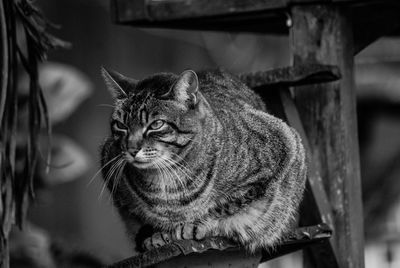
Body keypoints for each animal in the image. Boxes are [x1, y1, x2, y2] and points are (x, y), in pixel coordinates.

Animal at [99, 68, 306, 252]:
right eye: (120, 125)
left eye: (156, 124)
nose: (131, 149)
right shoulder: (108, 162)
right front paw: (158, 234)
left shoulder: (284, 143)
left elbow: (229, 205)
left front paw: (195, 225)